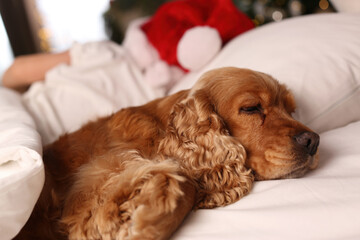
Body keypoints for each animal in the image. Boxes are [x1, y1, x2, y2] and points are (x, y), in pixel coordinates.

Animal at [15, 67, 320, 240]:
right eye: (251, 108)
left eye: (291, 110)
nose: (313, 141)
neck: (164, 132)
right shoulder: (93, 185)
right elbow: (185, 181)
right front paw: (145, 225)